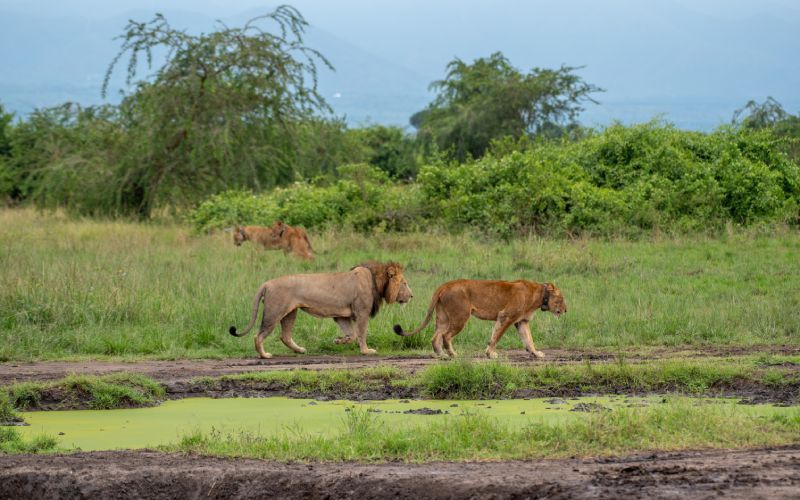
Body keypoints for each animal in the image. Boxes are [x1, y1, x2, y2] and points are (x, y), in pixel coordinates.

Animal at [230, 261, 413, 358]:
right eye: (404, 283)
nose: (412, 296)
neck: (376, 281)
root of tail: (267, 283)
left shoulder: (342, 316)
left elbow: (352, 334)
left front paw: (339, 341)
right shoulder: (362, 312)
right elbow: (361, 333)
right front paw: (366, 351)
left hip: (290, 313)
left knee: (285, 336)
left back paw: (300, 350)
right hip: (274, 313)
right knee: (258, 336)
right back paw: (265, 355)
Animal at [394, 280, 566, 359]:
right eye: (561, 299)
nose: (566, 310)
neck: (540, 296)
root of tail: (446, 284)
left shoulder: (521, 322)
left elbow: (529, 340)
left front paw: (536, 354)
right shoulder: (506, 316)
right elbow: (496, 336)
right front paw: (490, 354)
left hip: (443, 317)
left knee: (435, 337)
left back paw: (441, 355)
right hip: (460, 316)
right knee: (446, 336)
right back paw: (453, 354)